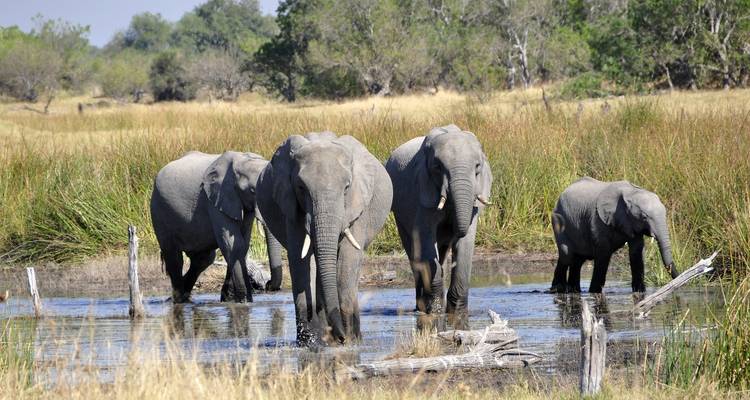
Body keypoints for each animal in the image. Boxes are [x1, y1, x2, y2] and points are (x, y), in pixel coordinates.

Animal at [150, 150, 284, 303]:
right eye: (252, 191)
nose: (267, 285)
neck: (242, 160)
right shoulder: (215, 199)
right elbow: (233, 244)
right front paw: (243, 301)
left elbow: (243, 244)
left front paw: (230, 300)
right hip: (158, 211)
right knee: (174, 257)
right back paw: (178, 299)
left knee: (203, 259)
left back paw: (183, 296)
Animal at [256, 132, 393, 345]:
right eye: (301, 187)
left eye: (346, 187)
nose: (341, 337)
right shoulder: (291, 207)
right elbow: (301, 258)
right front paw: (311, 342)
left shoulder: (357, 206)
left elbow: (348, 258)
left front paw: (350, 340)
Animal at [385, 125, 493, 321]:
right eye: (437, 167)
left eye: (477, 167)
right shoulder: (423, 192)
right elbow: (426, 239)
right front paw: (435, 312)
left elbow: (466, 243)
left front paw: (457, 313)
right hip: (399, 213)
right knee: (415, 253)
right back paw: (421, 306)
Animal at [549, 177, 680, 294]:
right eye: (644, 217)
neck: (631, 192)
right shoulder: (598, 219)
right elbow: (604, 253)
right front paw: (594, 292)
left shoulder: (630, 222)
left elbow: (636, 253)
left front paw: (640, 291)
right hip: (558, 220)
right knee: (566, 255)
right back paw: (558, 290)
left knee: (577, 261)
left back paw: (574, 291)